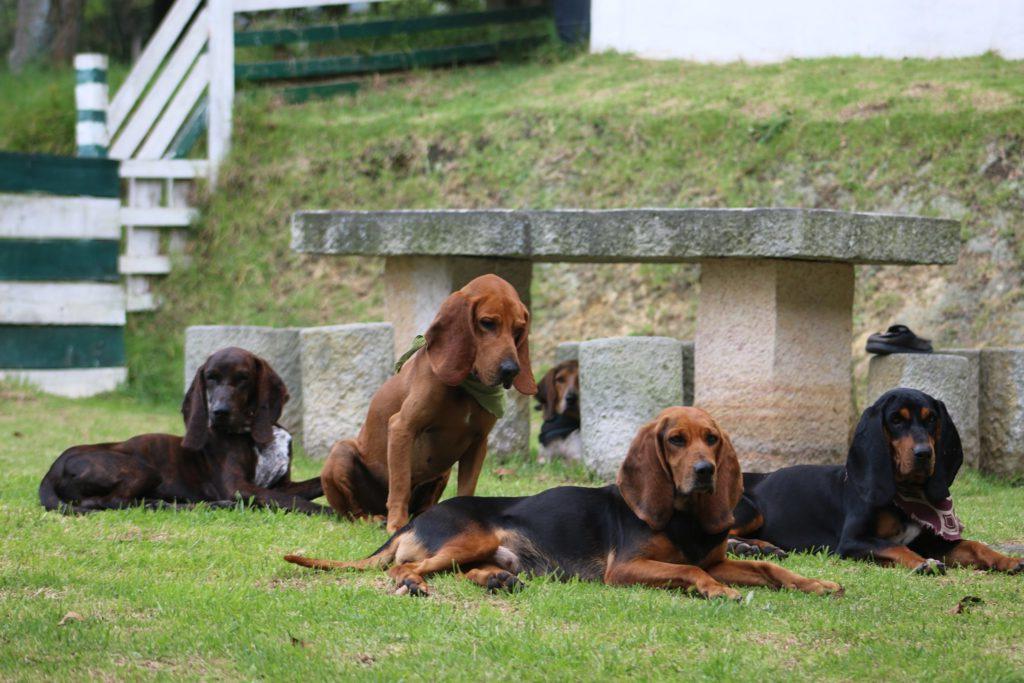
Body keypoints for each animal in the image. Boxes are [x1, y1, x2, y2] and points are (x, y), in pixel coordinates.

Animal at [284, 405, 843, 598]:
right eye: (675, 441)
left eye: (712, 439)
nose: (705, 472)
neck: (681, 518)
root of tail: (412, 521)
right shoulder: (626, 569)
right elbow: (689, 571)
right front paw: (715, 592)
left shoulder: (720, 559)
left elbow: (771, 569)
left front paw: (816, 583)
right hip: (470, 534)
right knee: (405, 569)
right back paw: (413, 585)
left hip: (484, 551)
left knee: (464, 572)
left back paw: (499, 581)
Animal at [323, 274, 540, 532]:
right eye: (487, 323)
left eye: (519, 329)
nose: (511, 370)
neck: (466, 387)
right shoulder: (401, 427)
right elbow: (400, 486)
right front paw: (396, 526)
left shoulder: (479, 443)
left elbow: (466, 489)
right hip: (341, 453)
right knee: (354, 512)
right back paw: (373, 518)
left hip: (443, 471)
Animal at [729, 387, 1024, 573]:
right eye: (895, 420)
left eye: (931, 419)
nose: (924, 454)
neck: (904, 496)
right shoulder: (852, 541)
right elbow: (893, 546)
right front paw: (924, 563)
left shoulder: (928, 541)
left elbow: (973, 545)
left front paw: (1007, 560)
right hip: (750, 509)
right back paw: (745, 547)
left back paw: (759, 547)